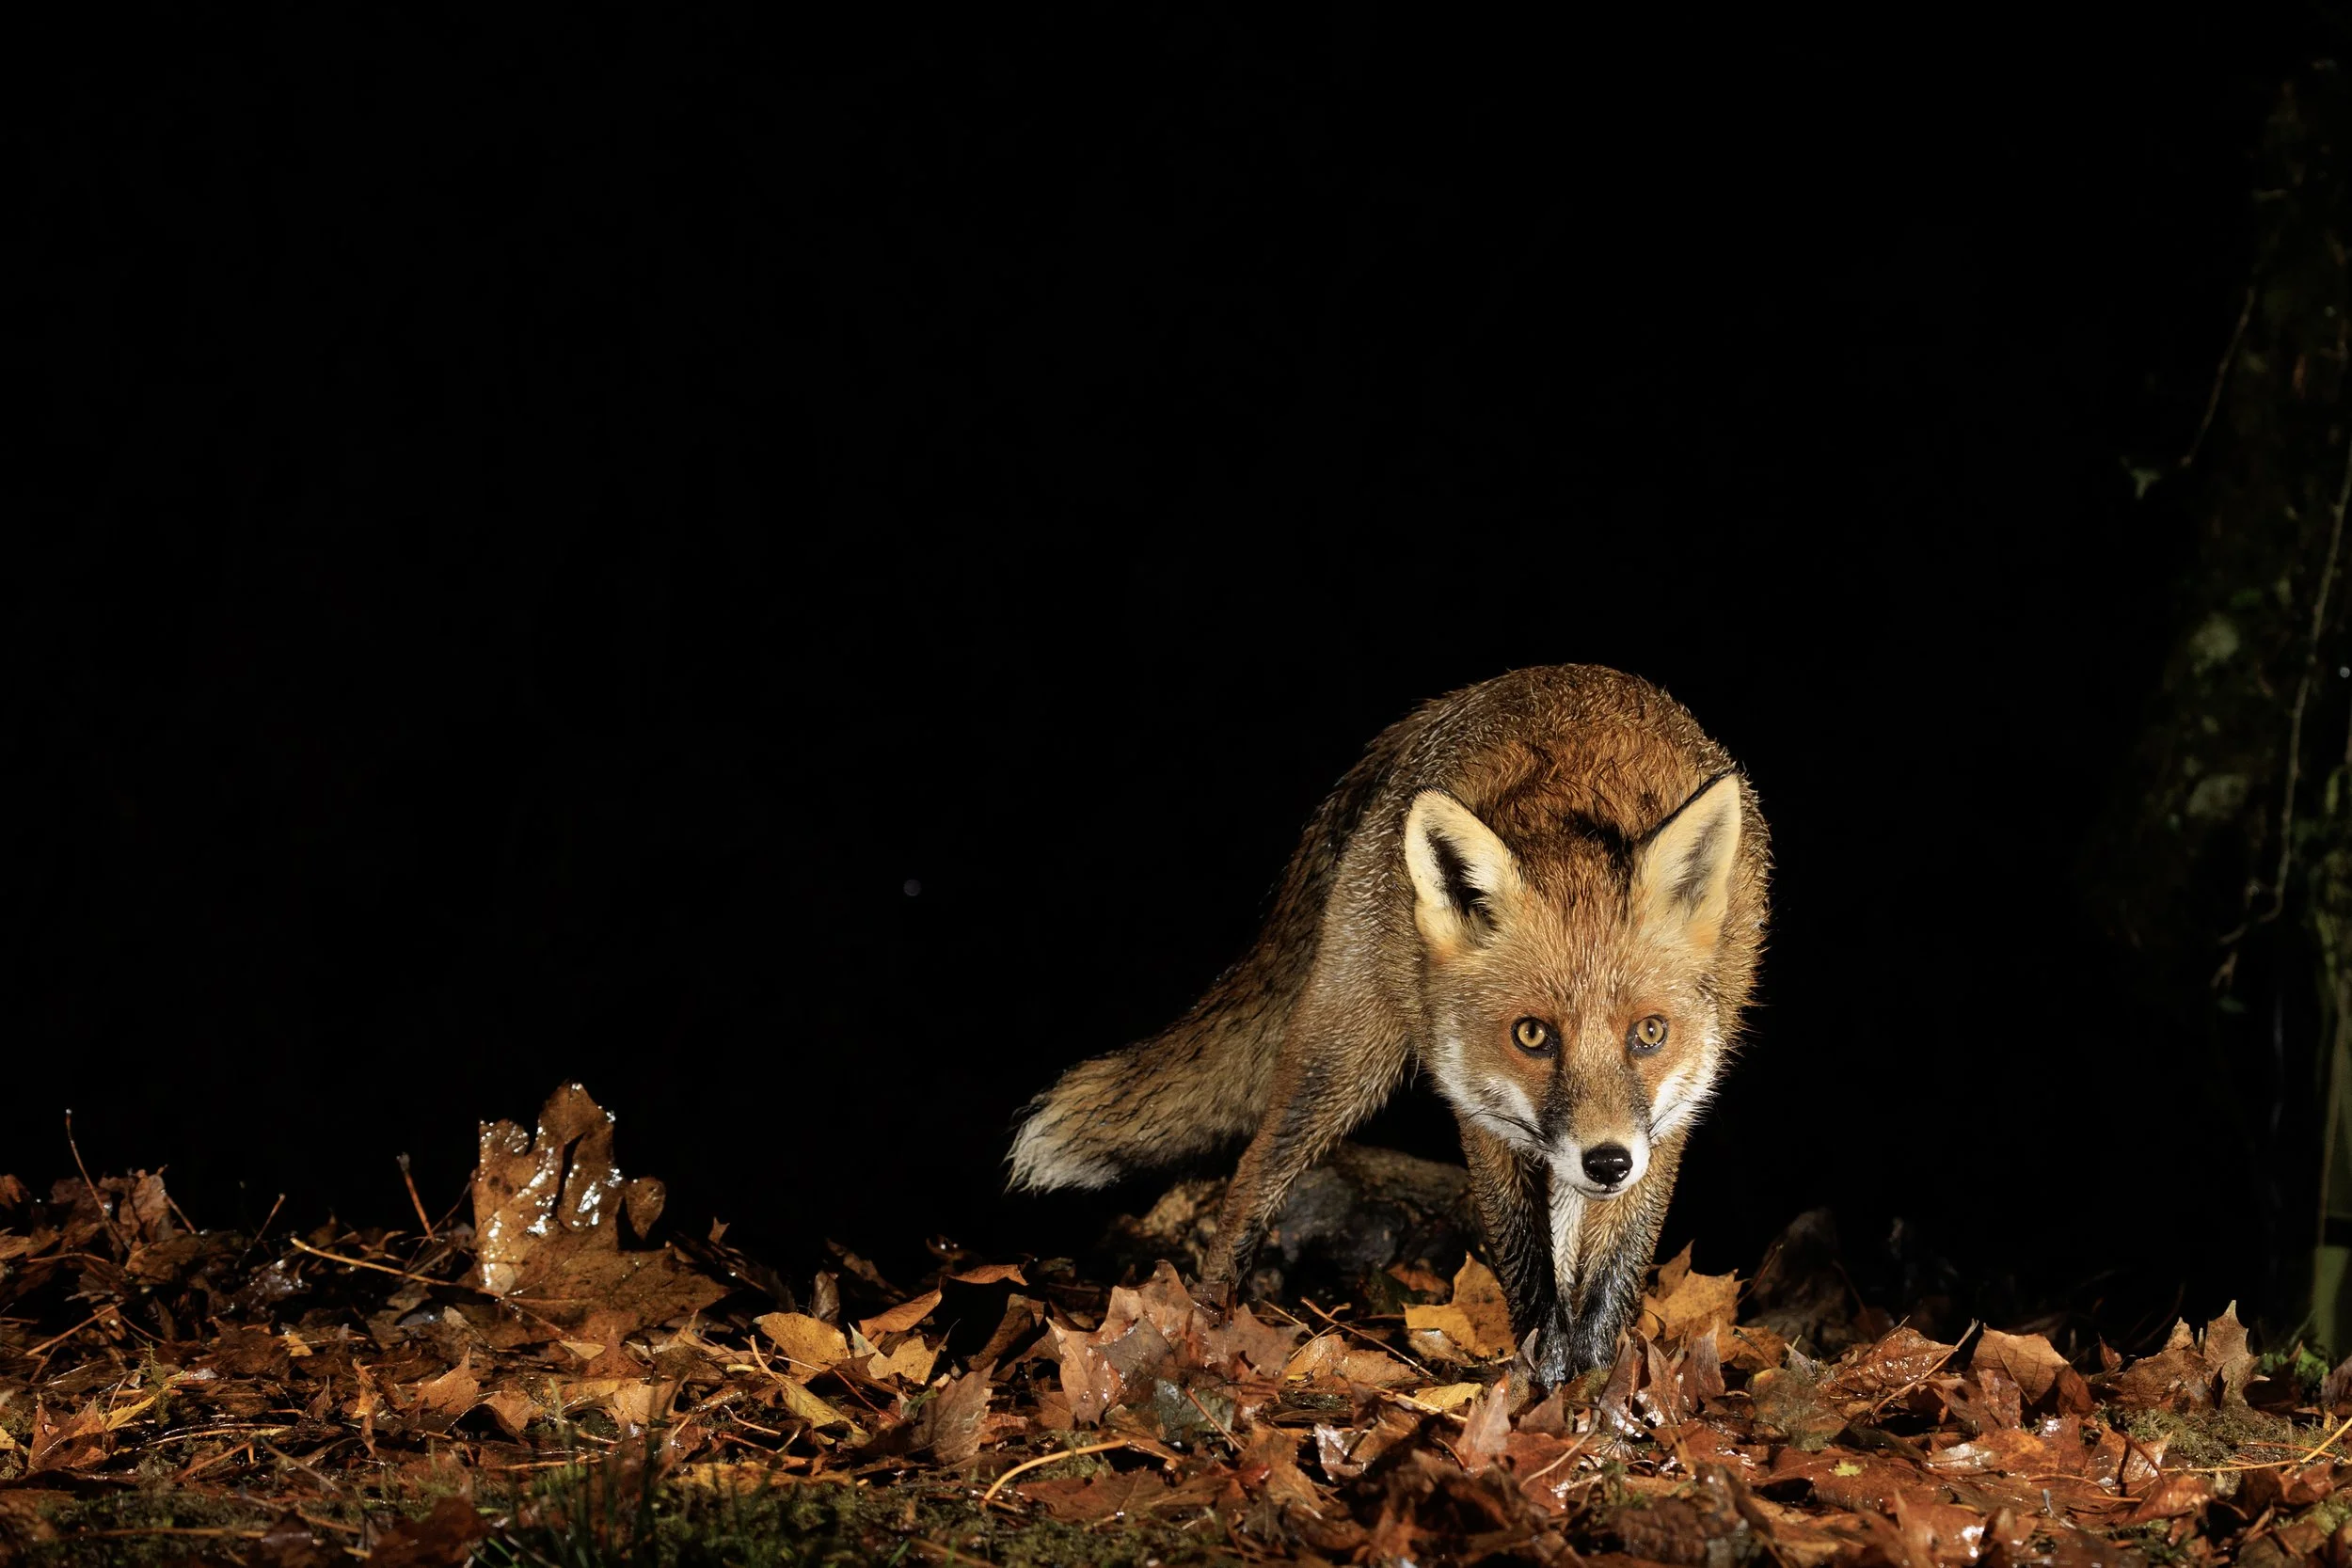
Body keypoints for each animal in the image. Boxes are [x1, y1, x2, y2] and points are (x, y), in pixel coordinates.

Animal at [1007, 664, 1769, 1381]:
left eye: (1650, 1033)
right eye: (1531, 1035)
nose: (1607, 1161)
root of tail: (1466, 695)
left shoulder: (1669, 1118)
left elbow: (1610, 1273)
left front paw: (1594, 1386)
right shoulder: (1481, 1111)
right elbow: (1527, 1265)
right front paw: (1543, 1383)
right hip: (1347, 1059)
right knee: (1253, 1173)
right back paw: (1206, 1323)